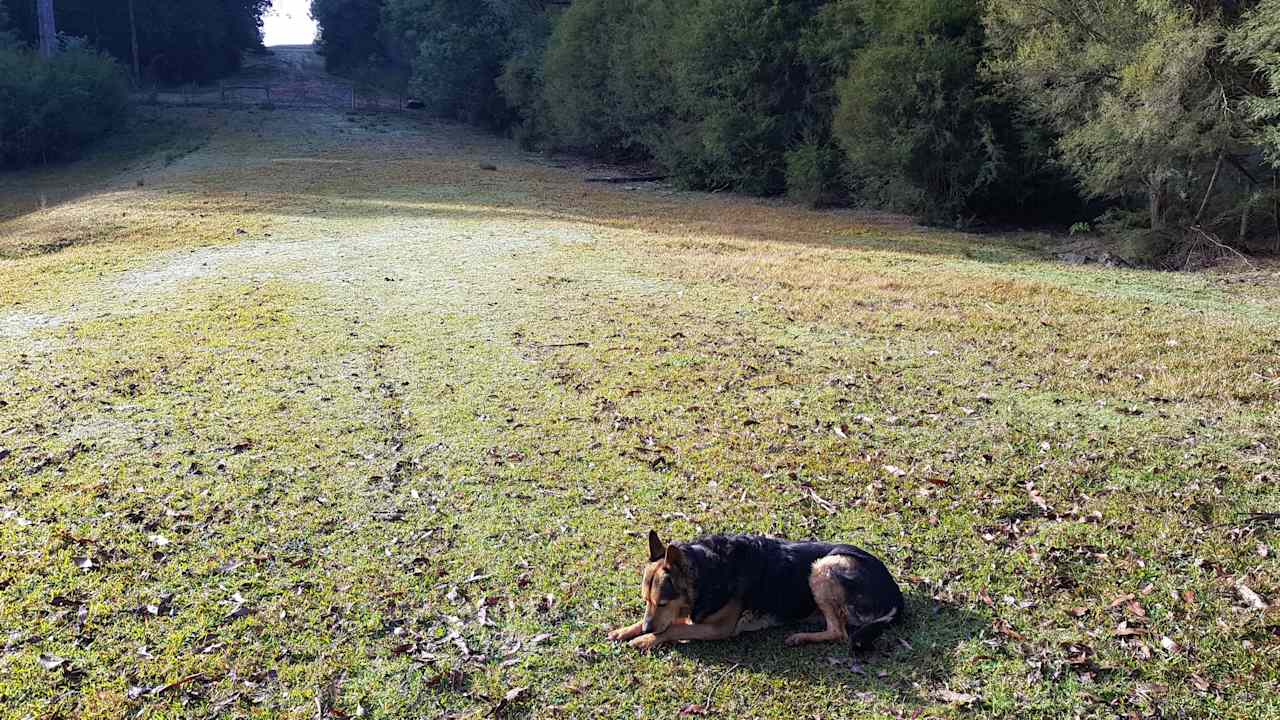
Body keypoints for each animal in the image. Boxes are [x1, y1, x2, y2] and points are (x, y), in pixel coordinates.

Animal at [606, 527, 901, 650]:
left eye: (663, 602)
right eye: (645, 600)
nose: (647, 628)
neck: (707, 569)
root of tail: (897, 595)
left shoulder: (717, 628)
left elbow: (671, 628)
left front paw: (645, 639)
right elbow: (664, 624)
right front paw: (626, 630)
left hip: (822, 568)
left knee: (839, 632)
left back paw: (801, 637)